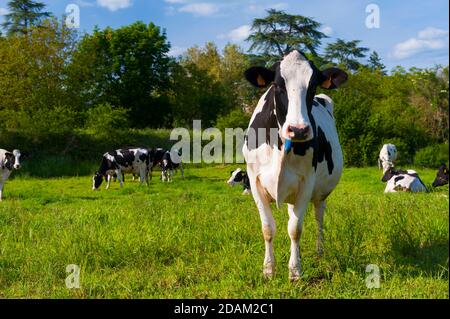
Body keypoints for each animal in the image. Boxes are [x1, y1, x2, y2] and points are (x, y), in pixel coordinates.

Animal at [243, 48, 348, 282]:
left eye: (313, 85)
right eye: (277, 85)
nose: (298, 130)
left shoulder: (306, 182)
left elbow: (295, 230)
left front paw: (295, 271)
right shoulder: (254, 181)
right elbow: (267, 228)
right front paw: (268, 270)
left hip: (320, 194)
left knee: (318, 218)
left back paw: (319, 252)